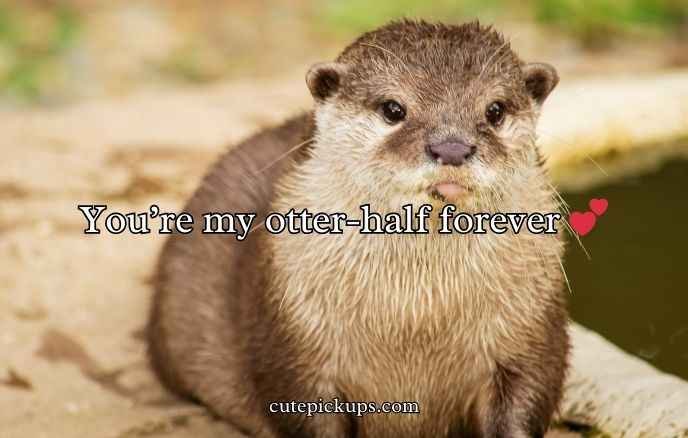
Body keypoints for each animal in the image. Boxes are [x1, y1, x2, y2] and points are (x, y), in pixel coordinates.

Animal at [147, 20, 569, 438]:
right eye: (393, 109)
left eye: (495, 110)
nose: (452, 147)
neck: (415, 321)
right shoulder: (296, 344)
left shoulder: (529, 335)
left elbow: (525, 397)